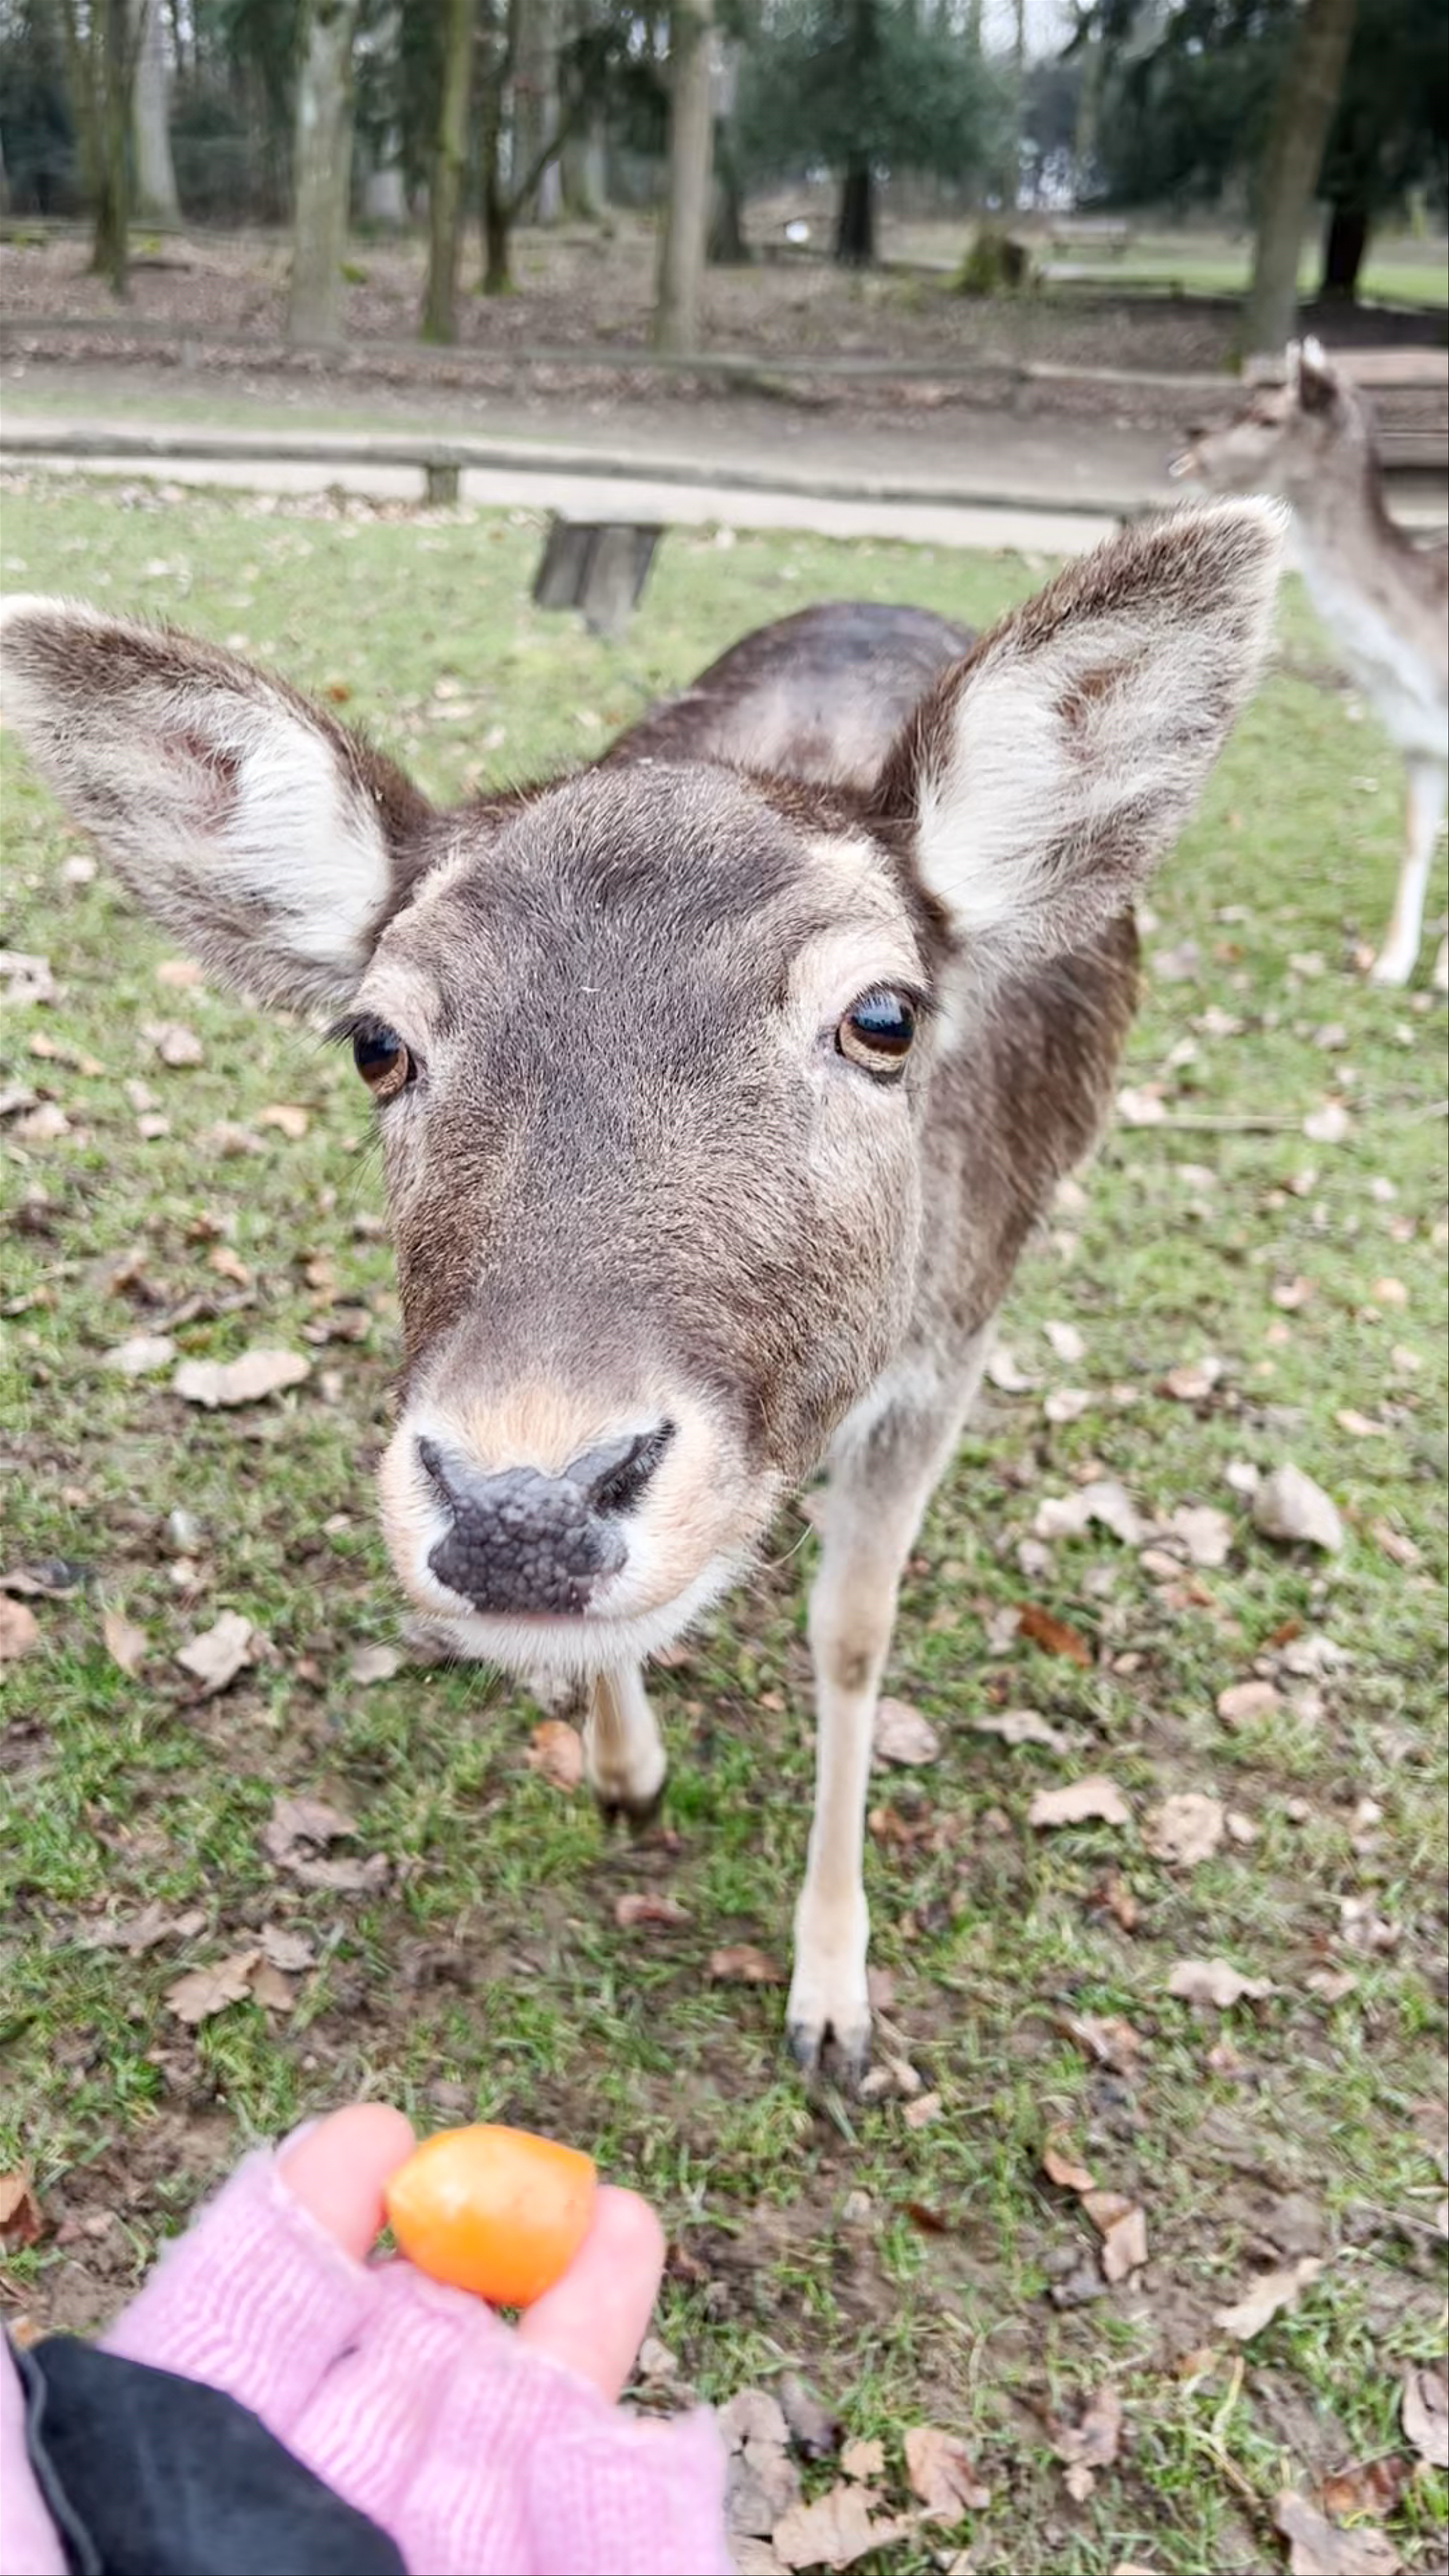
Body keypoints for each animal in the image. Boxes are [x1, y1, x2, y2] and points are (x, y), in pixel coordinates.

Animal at [0, 500, 1282, 2087]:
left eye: (883, 1016)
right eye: (375, 1041)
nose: (523, 1504)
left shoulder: (950, 1347)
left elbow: (854, 1634)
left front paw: (834, 1999)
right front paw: (627, 1774)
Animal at [1174, 337, 1449, 993]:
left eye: (1270, 417)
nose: (1191, 446)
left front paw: (1445, 973)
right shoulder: (1420, 740)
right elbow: (1415, 837)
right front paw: (1391, 966)